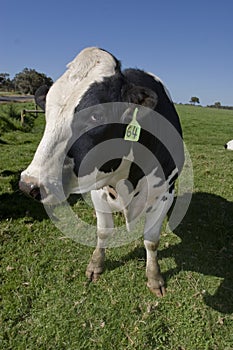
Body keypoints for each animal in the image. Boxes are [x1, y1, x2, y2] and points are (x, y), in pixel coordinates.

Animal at [19, 47, 184, 296]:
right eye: (47, 110)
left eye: (96, 115)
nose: (29, 184)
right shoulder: (98, 190)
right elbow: (103, 232)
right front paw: (95, 265)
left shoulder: (165, 193)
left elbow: (151, 240)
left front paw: (154, 278)